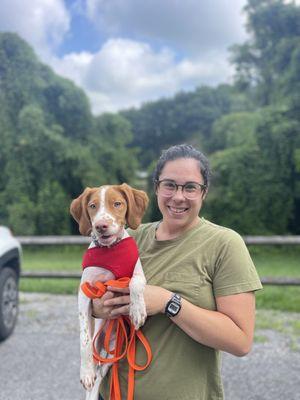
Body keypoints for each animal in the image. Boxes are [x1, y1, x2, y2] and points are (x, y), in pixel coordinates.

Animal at [70, 183, 150, 398]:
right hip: (100, 346)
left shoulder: (138, 274)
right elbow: (83, 338)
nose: (101, 226)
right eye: (92, 206)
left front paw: (137, 311)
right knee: (94, 371)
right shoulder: (84, 292)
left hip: (115, 350)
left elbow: (134, 284)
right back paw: (89, 376)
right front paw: (85, 372)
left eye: (117, 204)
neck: (110, 250)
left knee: (100, 374)